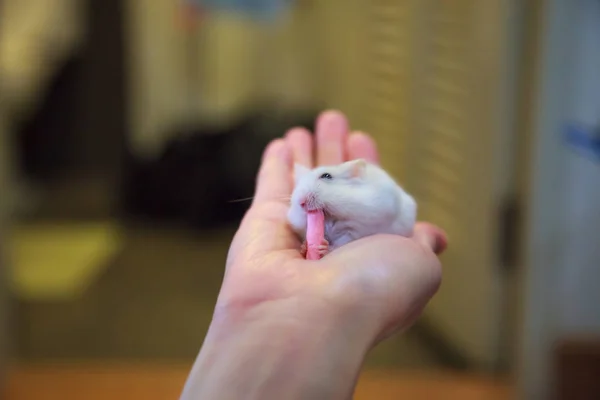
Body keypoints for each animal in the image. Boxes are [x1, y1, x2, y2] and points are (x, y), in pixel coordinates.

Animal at [288, 158, 418, 255]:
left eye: (326, 175)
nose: (301, 202)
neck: (332, 217)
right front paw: (304, 247)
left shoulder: (358, 230)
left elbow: (343, 241)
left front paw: (324, 247)